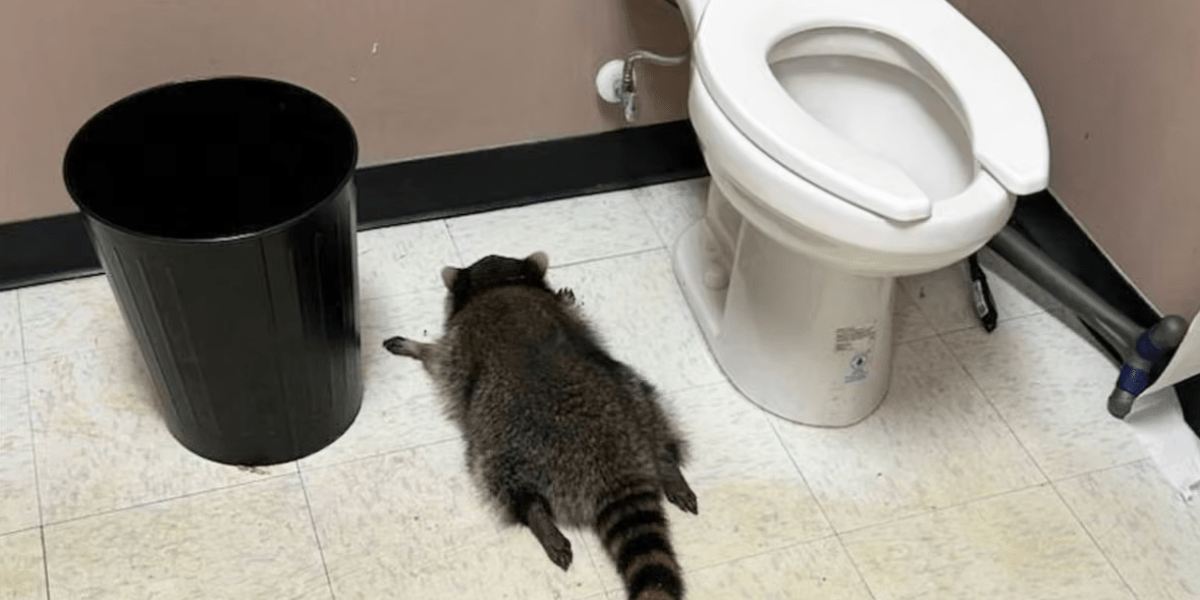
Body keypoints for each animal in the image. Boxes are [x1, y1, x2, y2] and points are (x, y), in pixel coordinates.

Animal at [383, 251, 697, 600]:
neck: (499, 284)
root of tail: (615, 466)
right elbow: (570, 309)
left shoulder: (459, 345)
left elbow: (438, 358)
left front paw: (418, 347)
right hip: (634, 396)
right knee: (655, 416)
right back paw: (668, 465)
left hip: (506, 443)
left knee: (500, 479)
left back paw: (537, 516)